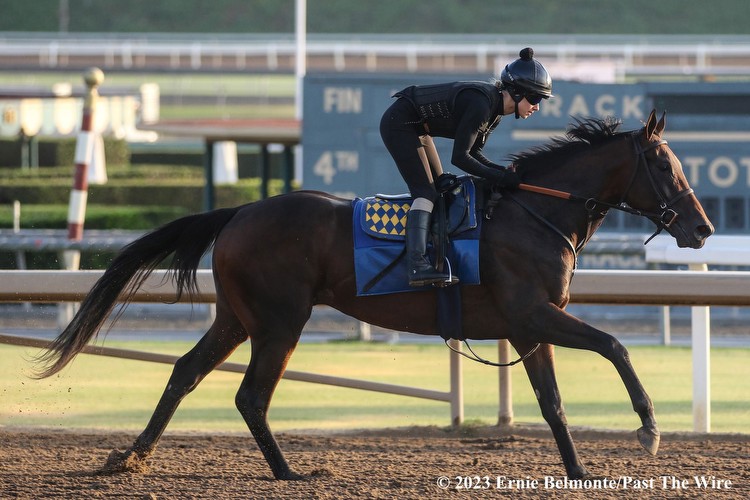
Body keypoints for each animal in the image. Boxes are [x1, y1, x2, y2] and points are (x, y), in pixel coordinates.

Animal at [35, 110, 716, 480]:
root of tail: (240, 212)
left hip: (236, 317)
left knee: (186, 372)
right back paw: (289, 472)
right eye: (663, 164)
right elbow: (615, 345)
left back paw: (131, 459)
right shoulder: (535, 313)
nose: (702, 227)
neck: (533, 214)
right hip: (279, 321)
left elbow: (553, 405)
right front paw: (649, 429)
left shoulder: (527, 326)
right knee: (250, 395)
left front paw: (577, 471)